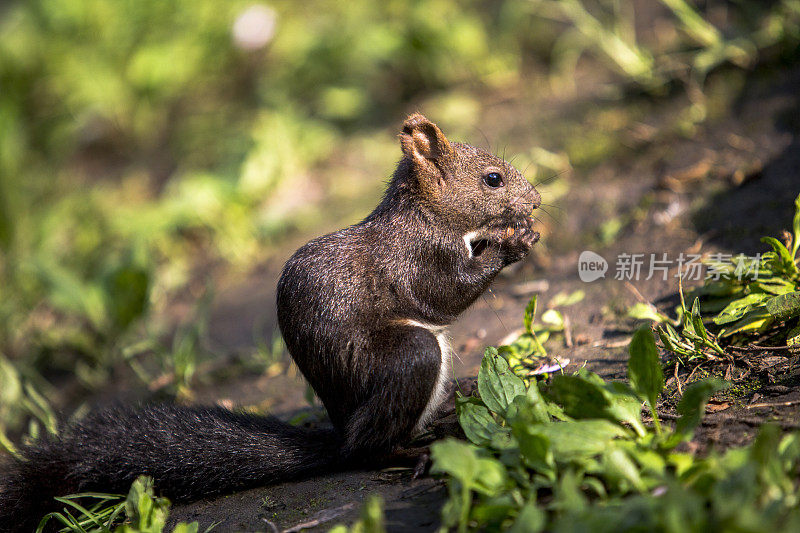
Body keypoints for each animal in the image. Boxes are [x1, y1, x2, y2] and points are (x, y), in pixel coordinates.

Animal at [0, 113, 540, 528]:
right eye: (492, 178)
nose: (535, 201)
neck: (425, 215)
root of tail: (341, 434)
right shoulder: (415, 258)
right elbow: (444, 295)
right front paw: (513, 242)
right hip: (411, 359)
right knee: (370, 449)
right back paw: (410, 453)